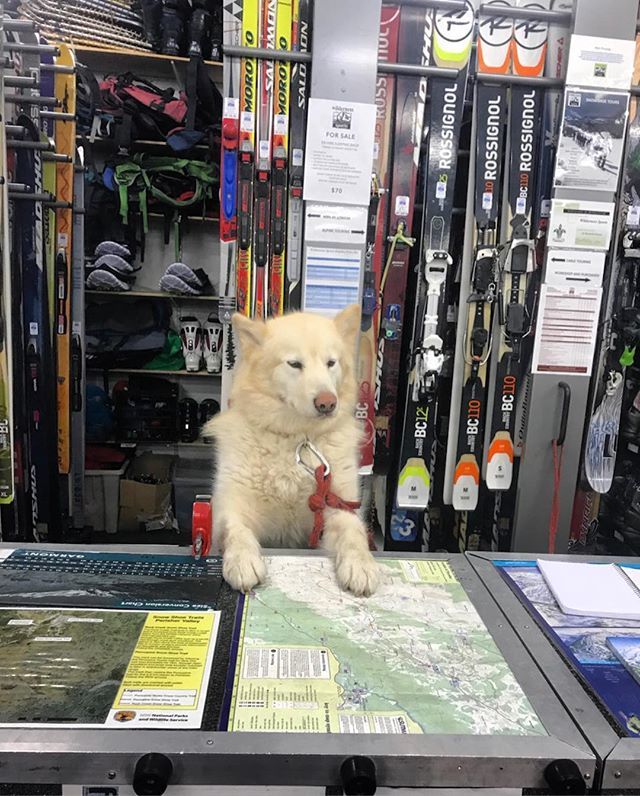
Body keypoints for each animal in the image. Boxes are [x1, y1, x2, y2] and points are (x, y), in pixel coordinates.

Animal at [206, 304, 380, 596]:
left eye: (331, 363)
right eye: (294, 364)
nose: (327, 403)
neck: (299, 439)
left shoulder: (337, 506)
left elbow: (353, 533)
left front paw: (360, 565)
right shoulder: (231, 508)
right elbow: (236, 531)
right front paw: (243, 561)